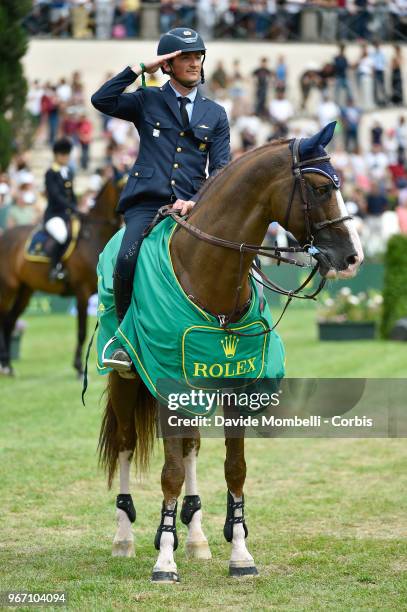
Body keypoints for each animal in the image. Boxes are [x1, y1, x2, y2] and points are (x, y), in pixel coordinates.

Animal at [0, 179, 121, 376]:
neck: (95, 235)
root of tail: (5, 235)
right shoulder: (82, 292)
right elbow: (81, 331)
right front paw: (79, 368)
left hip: (25, 290)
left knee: (9, 321)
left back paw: (8, 366)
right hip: (8, 288)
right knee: (3, 318)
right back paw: (4, 365)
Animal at [98, 123, 364, 584]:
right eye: (319, 188)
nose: (352, 257)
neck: (208, 271)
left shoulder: (235, 388)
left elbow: (233, 469)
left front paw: (239, 554)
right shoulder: (168, 385)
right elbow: (168, 474)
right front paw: (163, 562)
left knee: (190, 449)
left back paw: (195, 537)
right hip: (126, 381)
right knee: (127, 444)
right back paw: (125, 537)